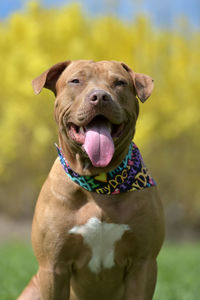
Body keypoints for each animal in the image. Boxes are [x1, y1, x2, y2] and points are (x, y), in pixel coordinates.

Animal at [17, 59, 164, 298]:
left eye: (119, 82)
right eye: (76, 80)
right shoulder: (53, 267)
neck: (99, 183)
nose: (100, 96)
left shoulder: (143, 264)